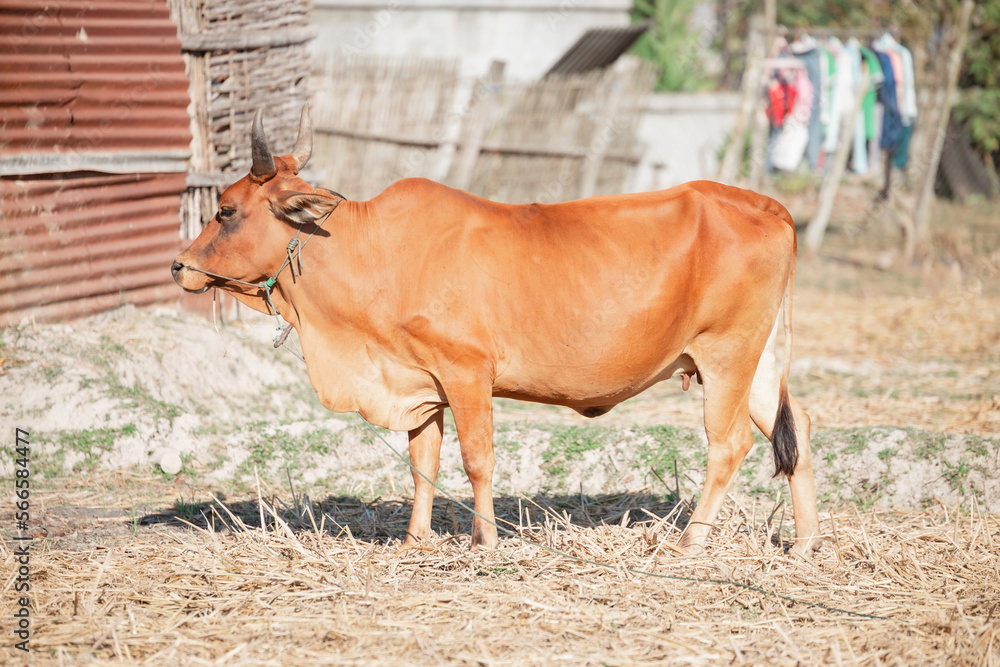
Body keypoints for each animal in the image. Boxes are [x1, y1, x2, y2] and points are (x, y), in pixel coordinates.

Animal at [172, 106, 821, 556]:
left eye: (226, 211)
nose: (179, 266)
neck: (371, 251)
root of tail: (768, 206)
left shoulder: (466, 372)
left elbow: (477, 458)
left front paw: (485, 541)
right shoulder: (422, 381)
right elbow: (423, 462)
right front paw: (416, 540)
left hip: (726, 355)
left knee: (729, 445)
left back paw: (689, 542)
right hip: (758, 363)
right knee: (797, 433)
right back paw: (805, 543)